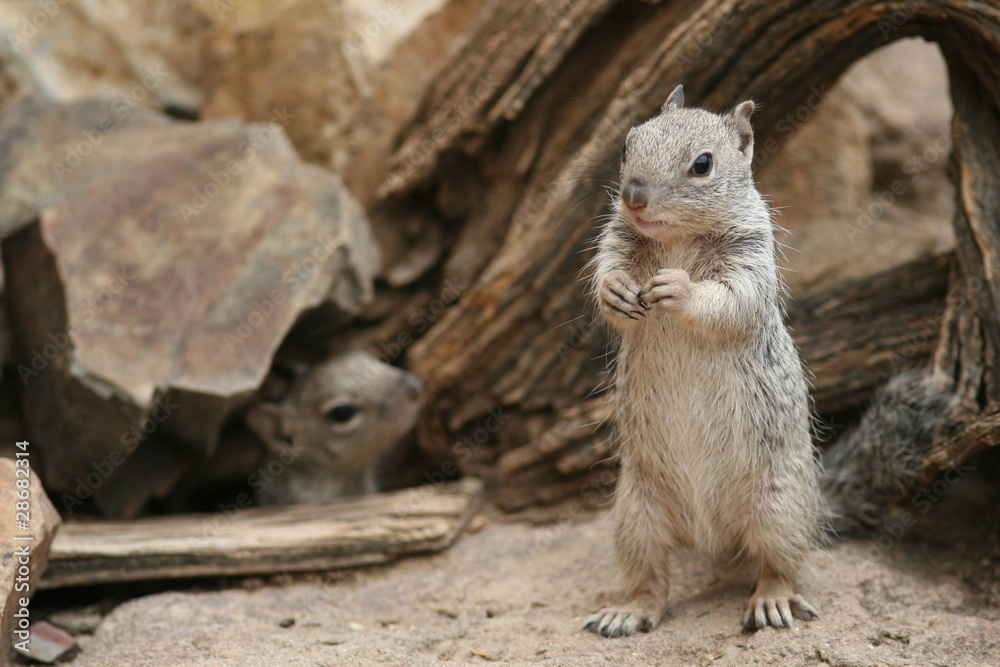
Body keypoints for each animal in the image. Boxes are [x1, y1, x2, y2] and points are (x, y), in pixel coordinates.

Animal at [584, 85, 955, 637]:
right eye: (628, 144)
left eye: (702, 164)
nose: (633, 197)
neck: (676, 239)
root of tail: (712, 539)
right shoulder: (617, 237)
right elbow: (609, 274)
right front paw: (615, 289)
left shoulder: (752, 258)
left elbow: (731, 301)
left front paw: (679, 289)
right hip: (635, 514)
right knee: (651, 579)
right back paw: (628, 611)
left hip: (778, 509)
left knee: (780, 565)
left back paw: (771, 601)